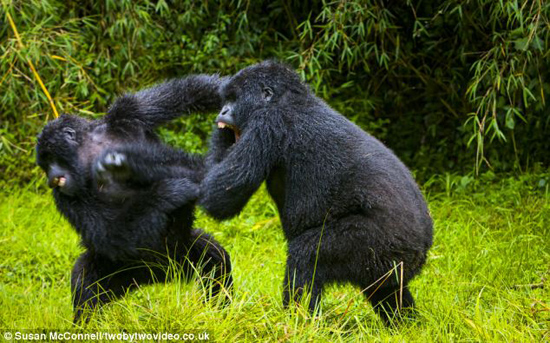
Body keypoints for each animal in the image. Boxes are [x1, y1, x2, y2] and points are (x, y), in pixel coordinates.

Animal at [34, 76, 233, 326]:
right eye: (45, 164)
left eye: (51, 158)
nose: (50, 177)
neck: (90, 152)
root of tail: (157, 276)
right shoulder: (64, 198)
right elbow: (110, 234)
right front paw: (171, 190)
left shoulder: (127, 113)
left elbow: (189, 92)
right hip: (124, 268)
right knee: (86, 280)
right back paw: (86, 325)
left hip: (181, 255)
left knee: (215, 260)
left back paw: (220, 315)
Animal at [198, 62, 436, 326]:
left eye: (233, 98)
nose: (223, 111)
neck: (290, 99)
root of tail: (422, 249)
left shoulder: (267, 124)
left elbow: (220, 196)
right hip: (392, 263)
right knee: (387, 290)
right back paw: (405, 324)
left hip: (383, 243)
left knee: (307, 256)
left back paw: (298, 322)